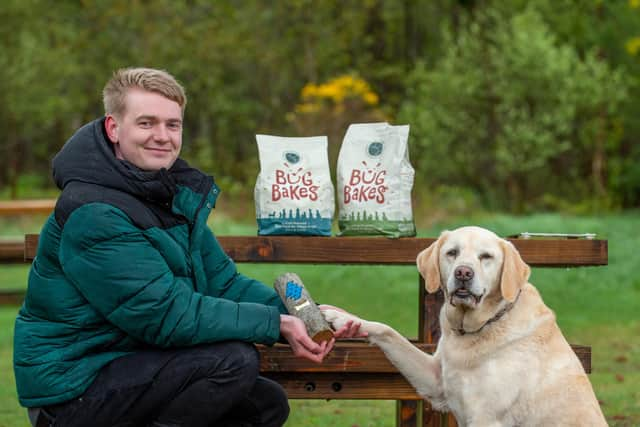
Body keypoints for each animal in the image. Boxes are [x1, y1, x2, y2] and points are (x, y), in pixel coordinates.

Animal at [324, 226, 604, 426]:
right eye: (452, 252)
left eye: (486, 257)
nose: (463, 273)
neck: (477, 328)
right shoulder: (435, 382)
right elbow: (387, 331)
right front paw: (343, 318)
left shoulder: (486, 419)